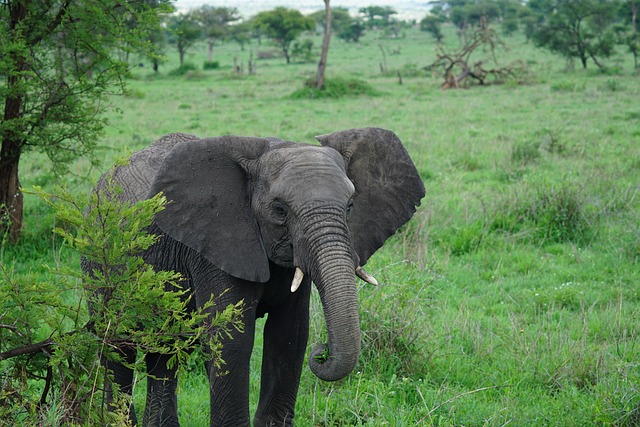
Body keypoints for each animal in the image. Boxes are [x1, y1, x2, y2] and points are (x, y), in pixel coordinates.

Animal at [83, 127, 425, 426]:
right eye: (279, 210)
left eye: (351, 205)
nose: (322, 352)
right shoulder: (213, 243)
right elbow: (232, 338)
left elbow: (289, 335)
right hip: (99, 260)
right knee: (118, 345)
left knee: (165, 349)